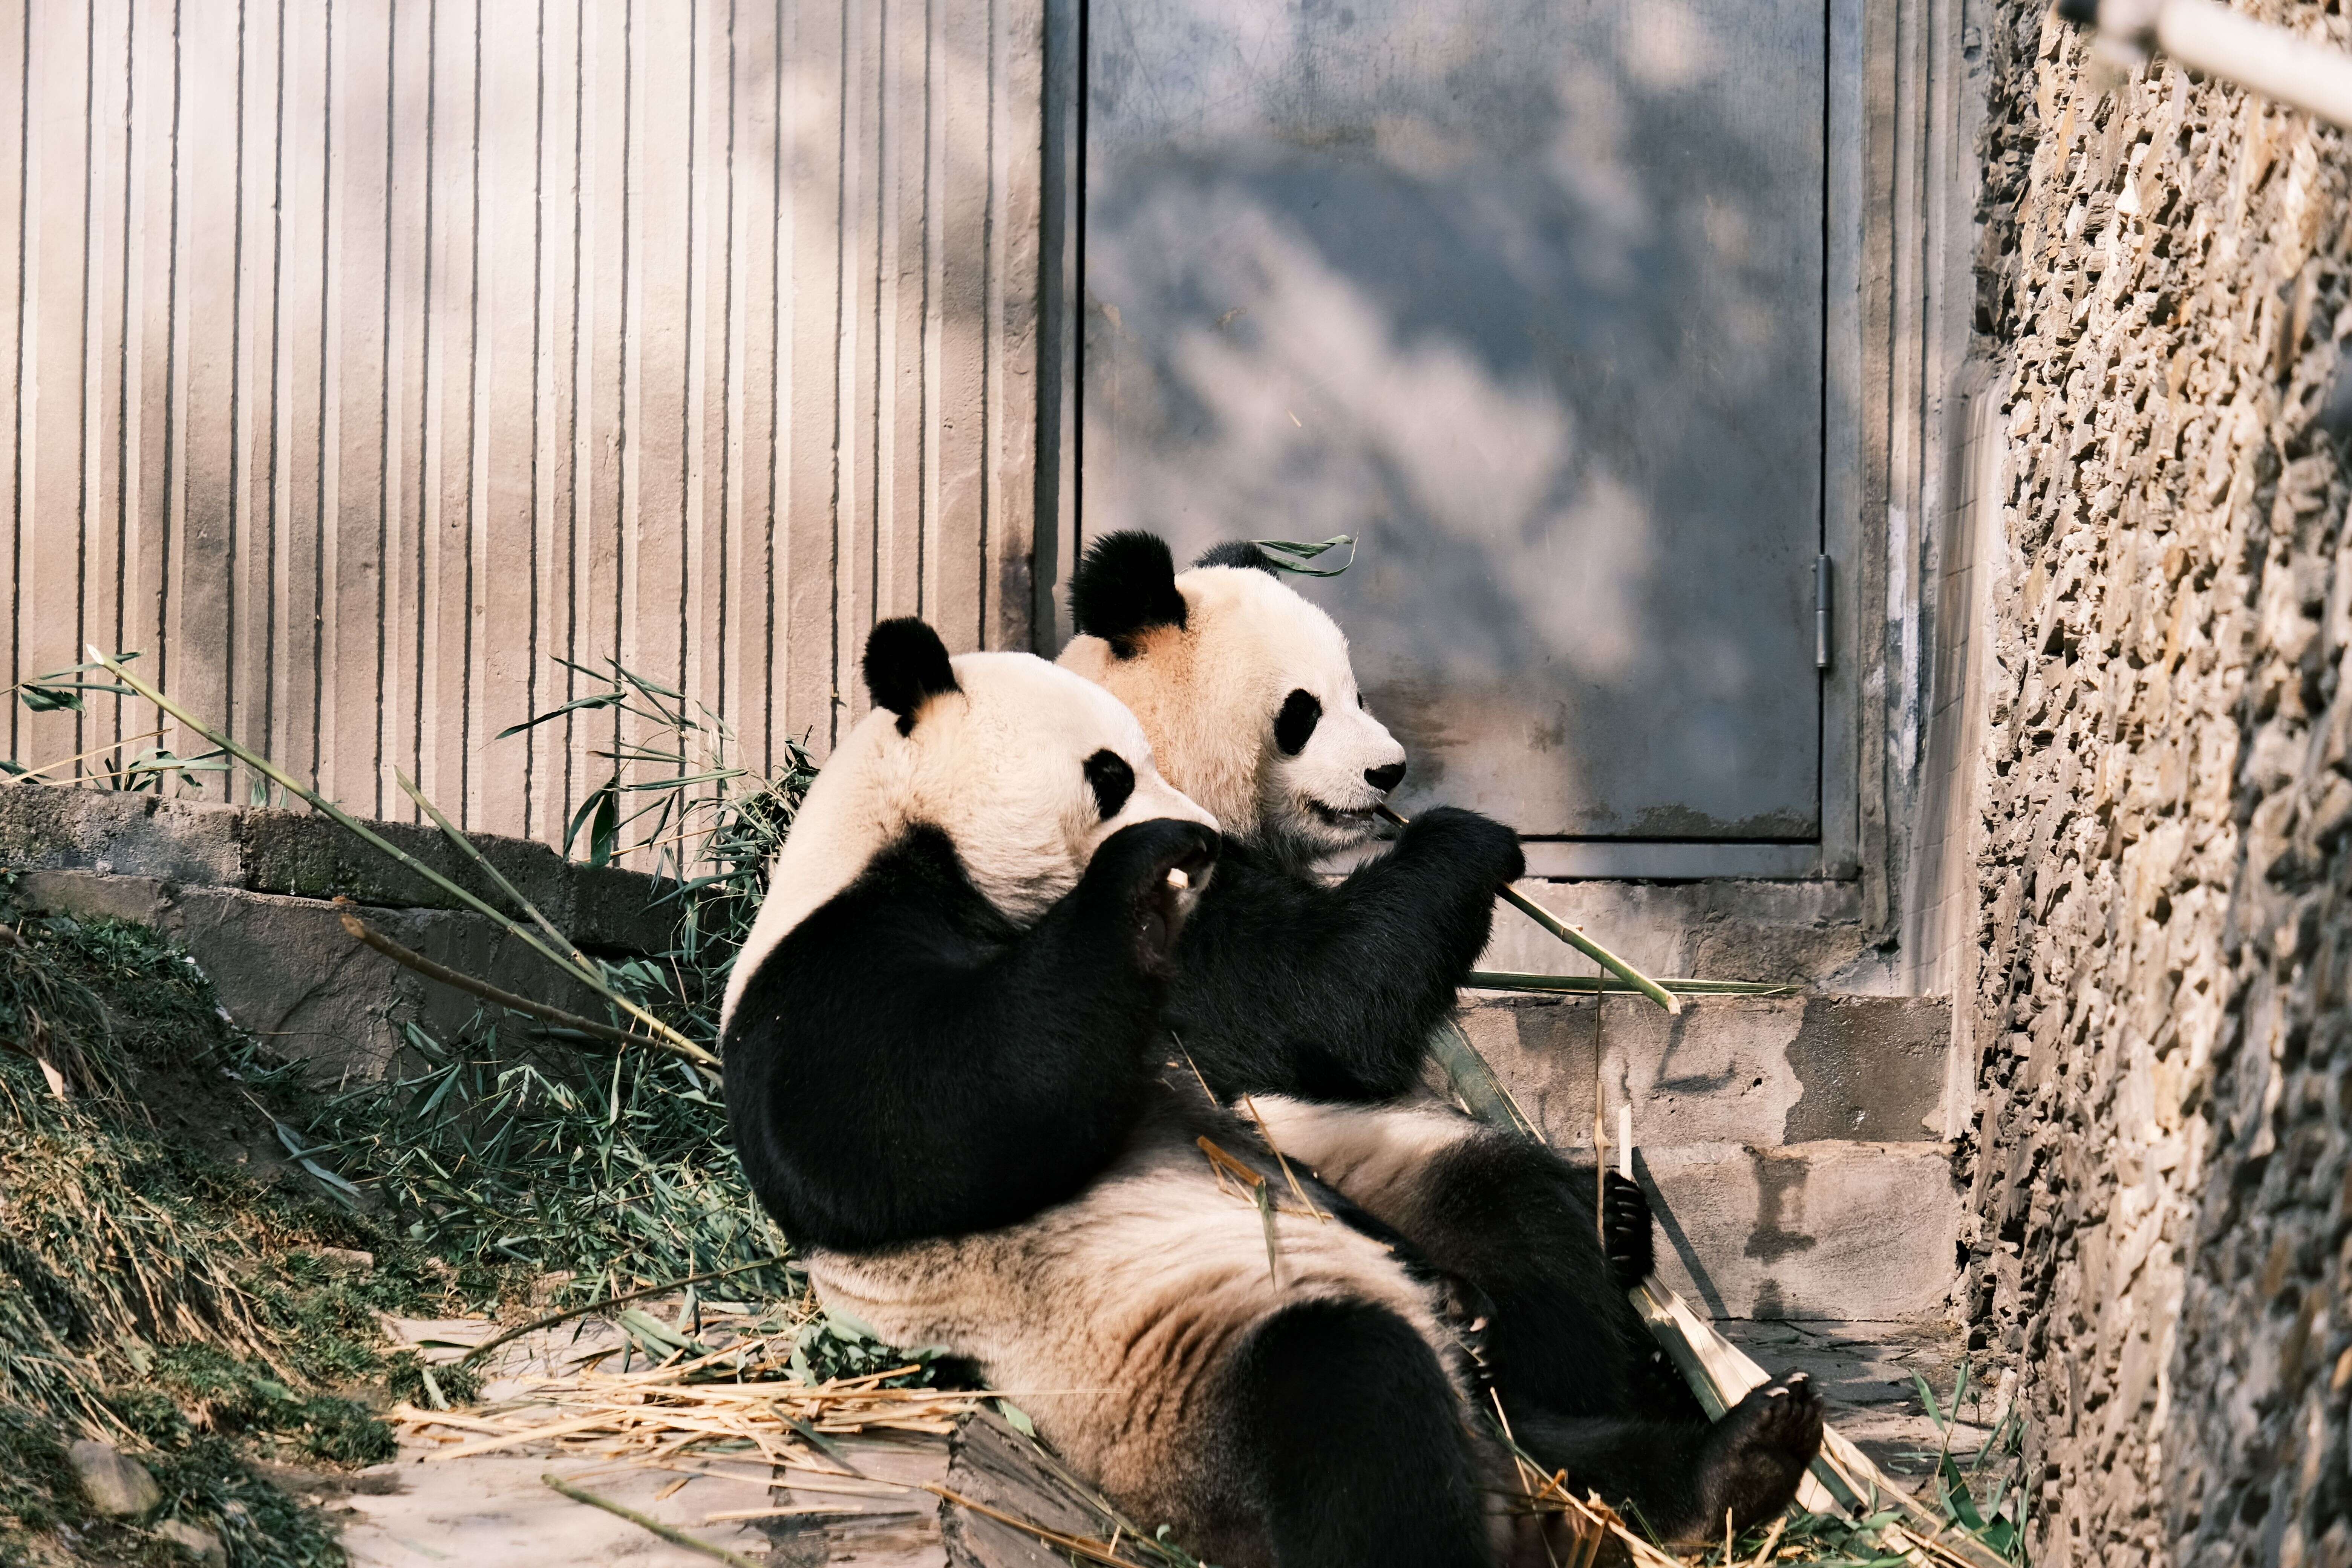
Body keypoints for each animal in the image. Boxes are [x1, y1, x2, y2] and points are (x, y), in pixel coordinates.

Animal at [720, 618, 1562, 1568]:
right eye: (1111, 773)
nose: (1206, 836)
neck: (905, 840)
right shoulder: (818, 978)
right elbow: (934, 1115)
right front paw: (1143, 867)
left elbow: (1295, 1029)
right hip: (1172, 1395)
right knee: (1349, 1388)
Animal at [1058, 532, 1825, 1541]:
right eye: (1302, 711)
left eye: (1355, 690)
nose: (1389, 774)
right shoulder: (1160, 893)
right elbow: (1314, 1002)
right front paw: (1472, 838)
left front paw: (1621, 1215)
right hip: (1347, 1180)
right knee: (1502, 1218)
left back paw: (1715, 1433)